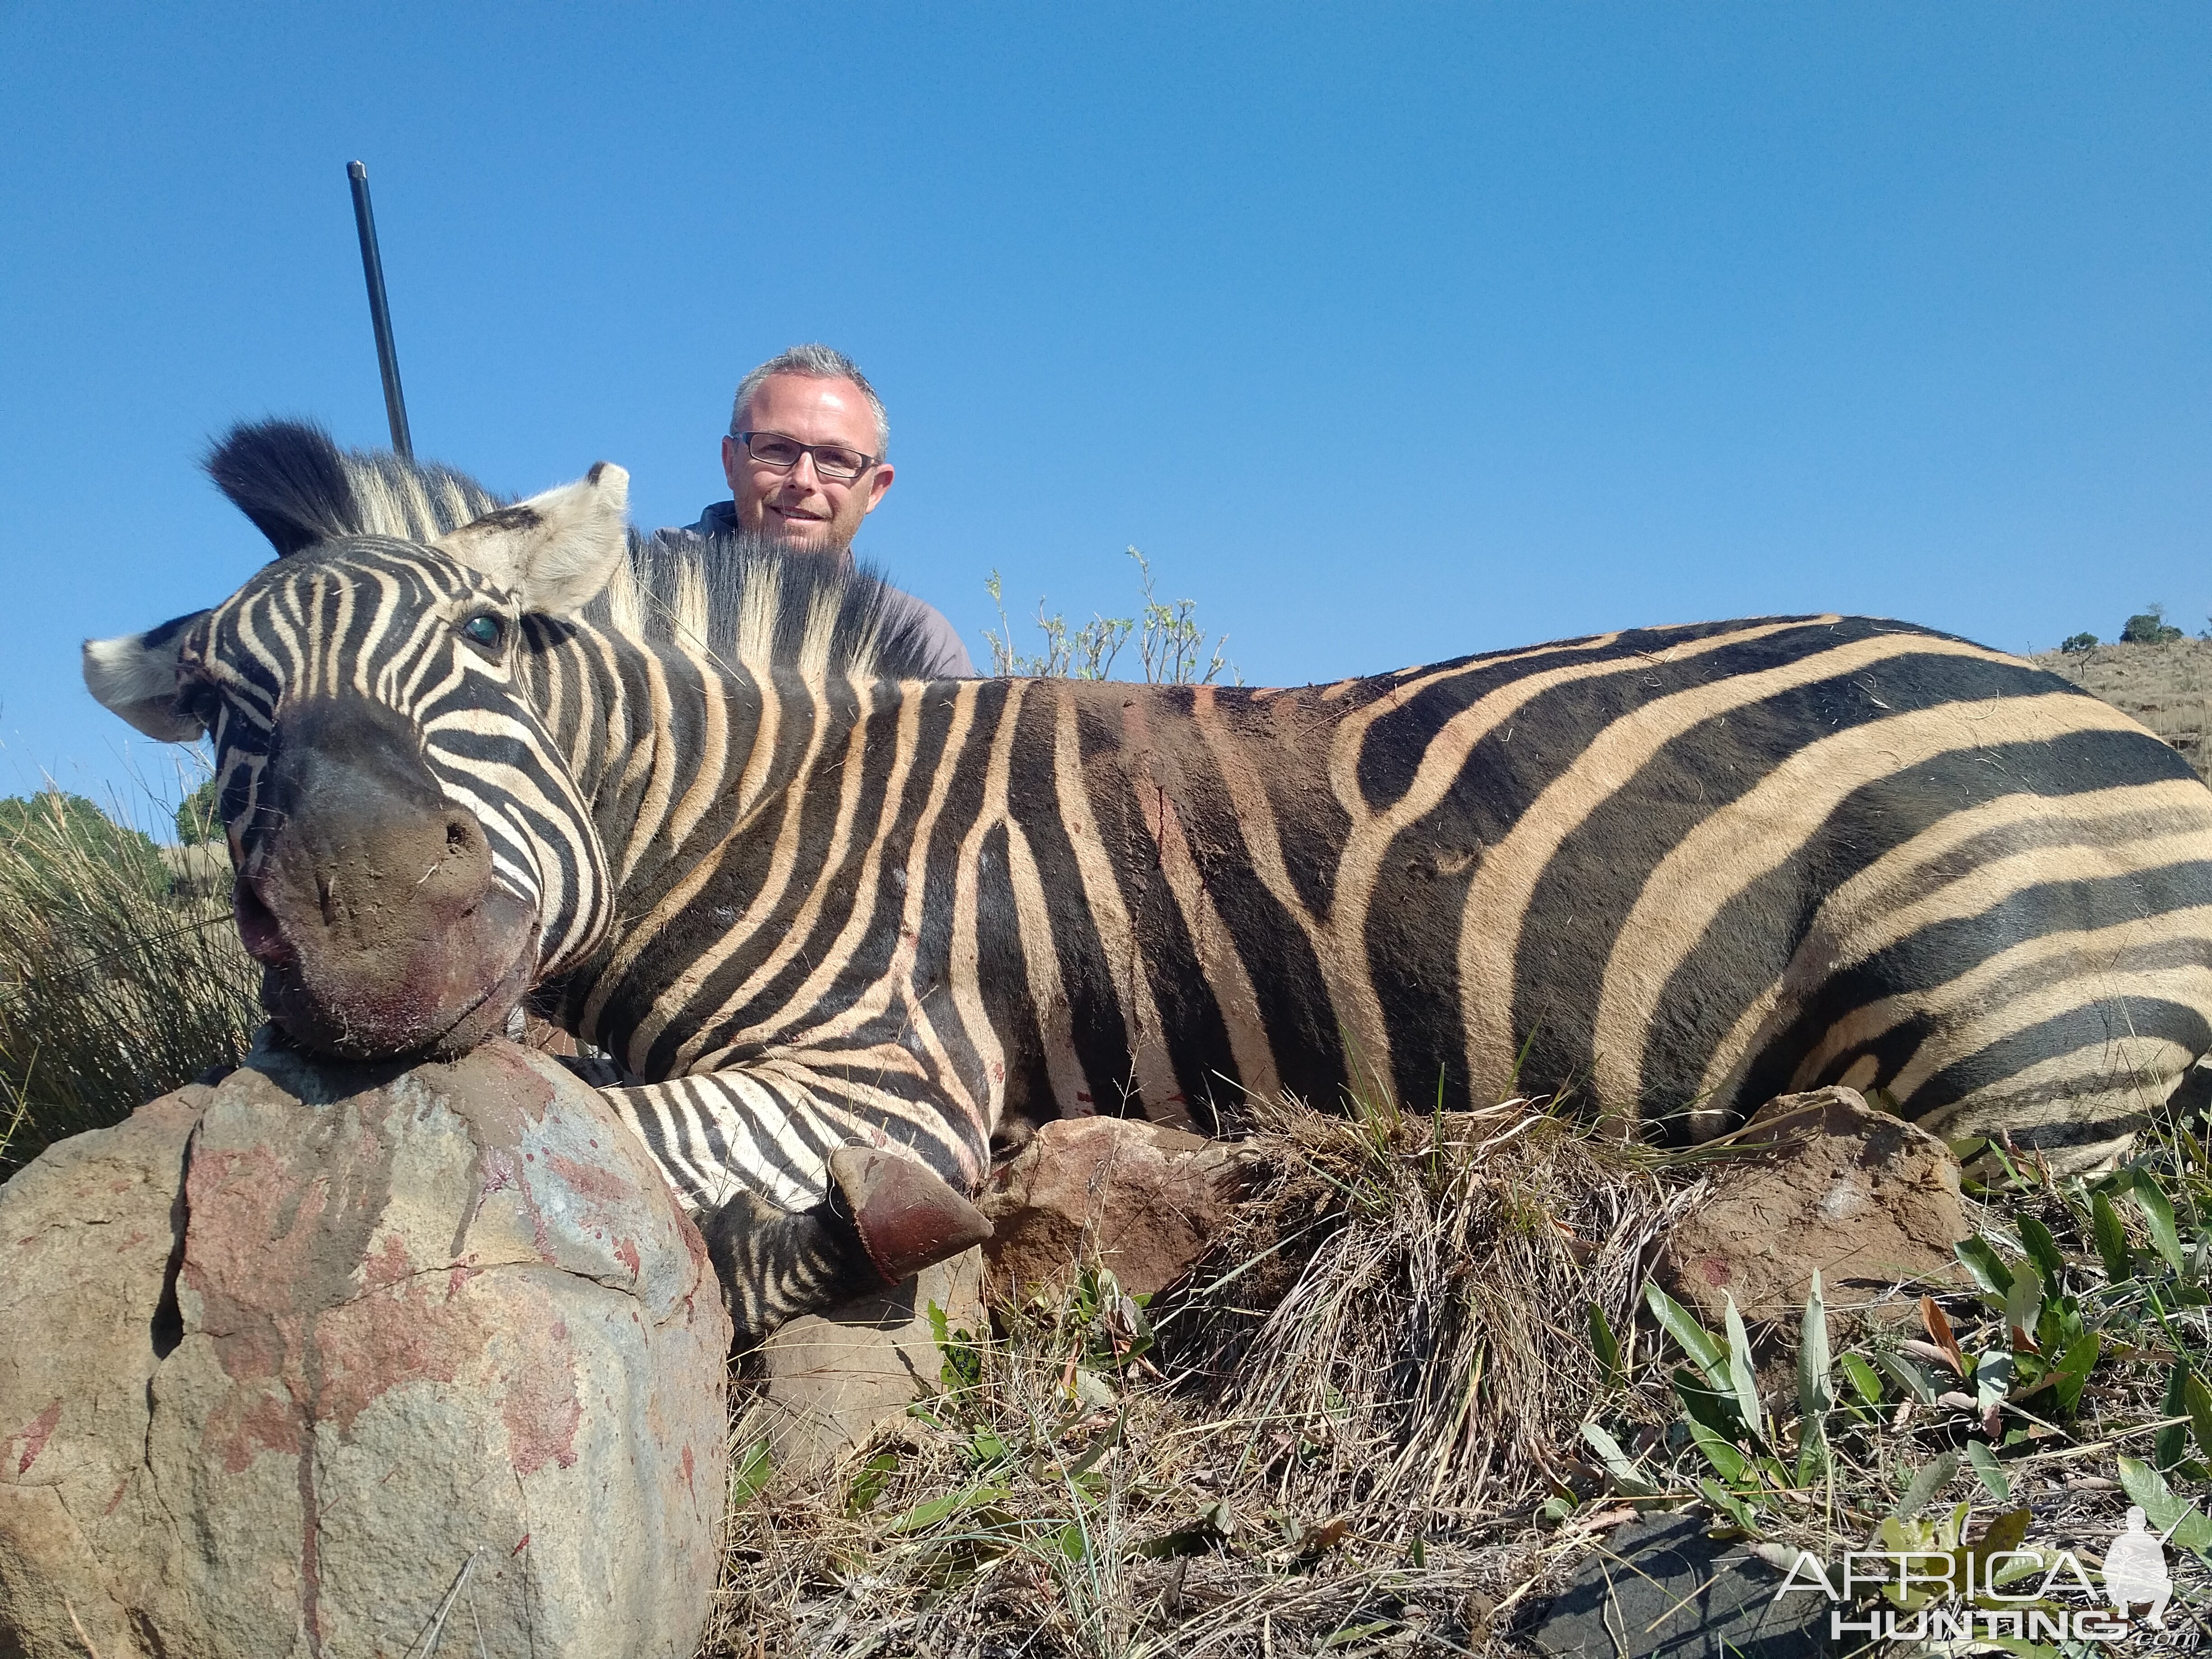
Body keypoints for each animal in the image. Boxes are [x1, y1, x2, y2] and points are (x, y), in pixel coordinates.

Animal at [90, 425, 2212, 1336]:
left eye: (487, 642)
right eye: (226, 712)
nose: (367, 936)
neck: (762, 814)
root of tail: (2108, 723)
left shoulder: (886, 1059)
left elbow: (604, 1136)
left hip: (2005, 1039)